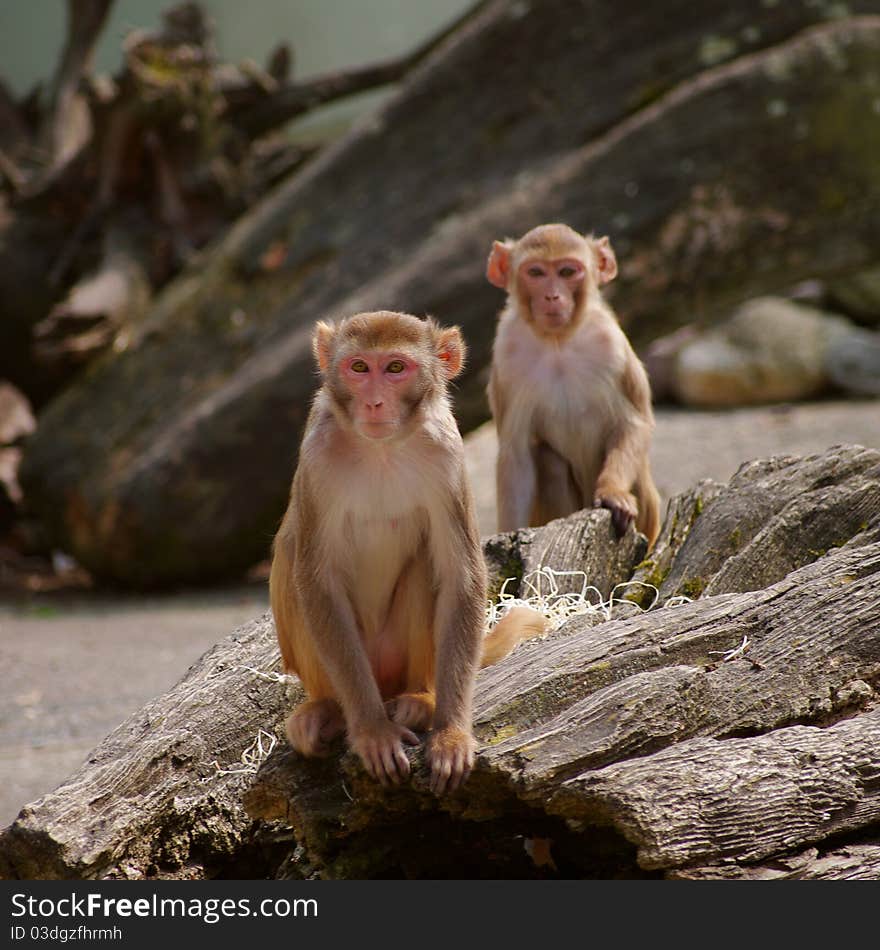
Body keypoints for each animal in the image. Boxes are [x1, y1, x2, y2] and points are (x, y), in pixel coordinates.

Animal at [270, 312, 544, 796]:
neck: (381, 450)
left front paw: (451, 733)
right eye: (359, 368)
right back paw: (330, 712)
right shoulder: (317, 456)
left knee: (424, 570)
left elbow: (460, 576)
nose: (375, 403)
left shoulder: (447, 455)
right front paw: (373, 733)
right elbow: (316, 580)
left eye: (396, 368)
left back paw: (419, 700)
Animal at [488, 223, 660, 548]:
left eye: (568, 271)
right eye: (536, 273)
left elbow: (634, 424)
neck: (558, 342)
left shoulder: (613, 347)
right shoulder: (507, 358)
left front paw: (612, 493)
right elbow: (516, 453)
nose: (552, 296)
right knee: (548, 461)